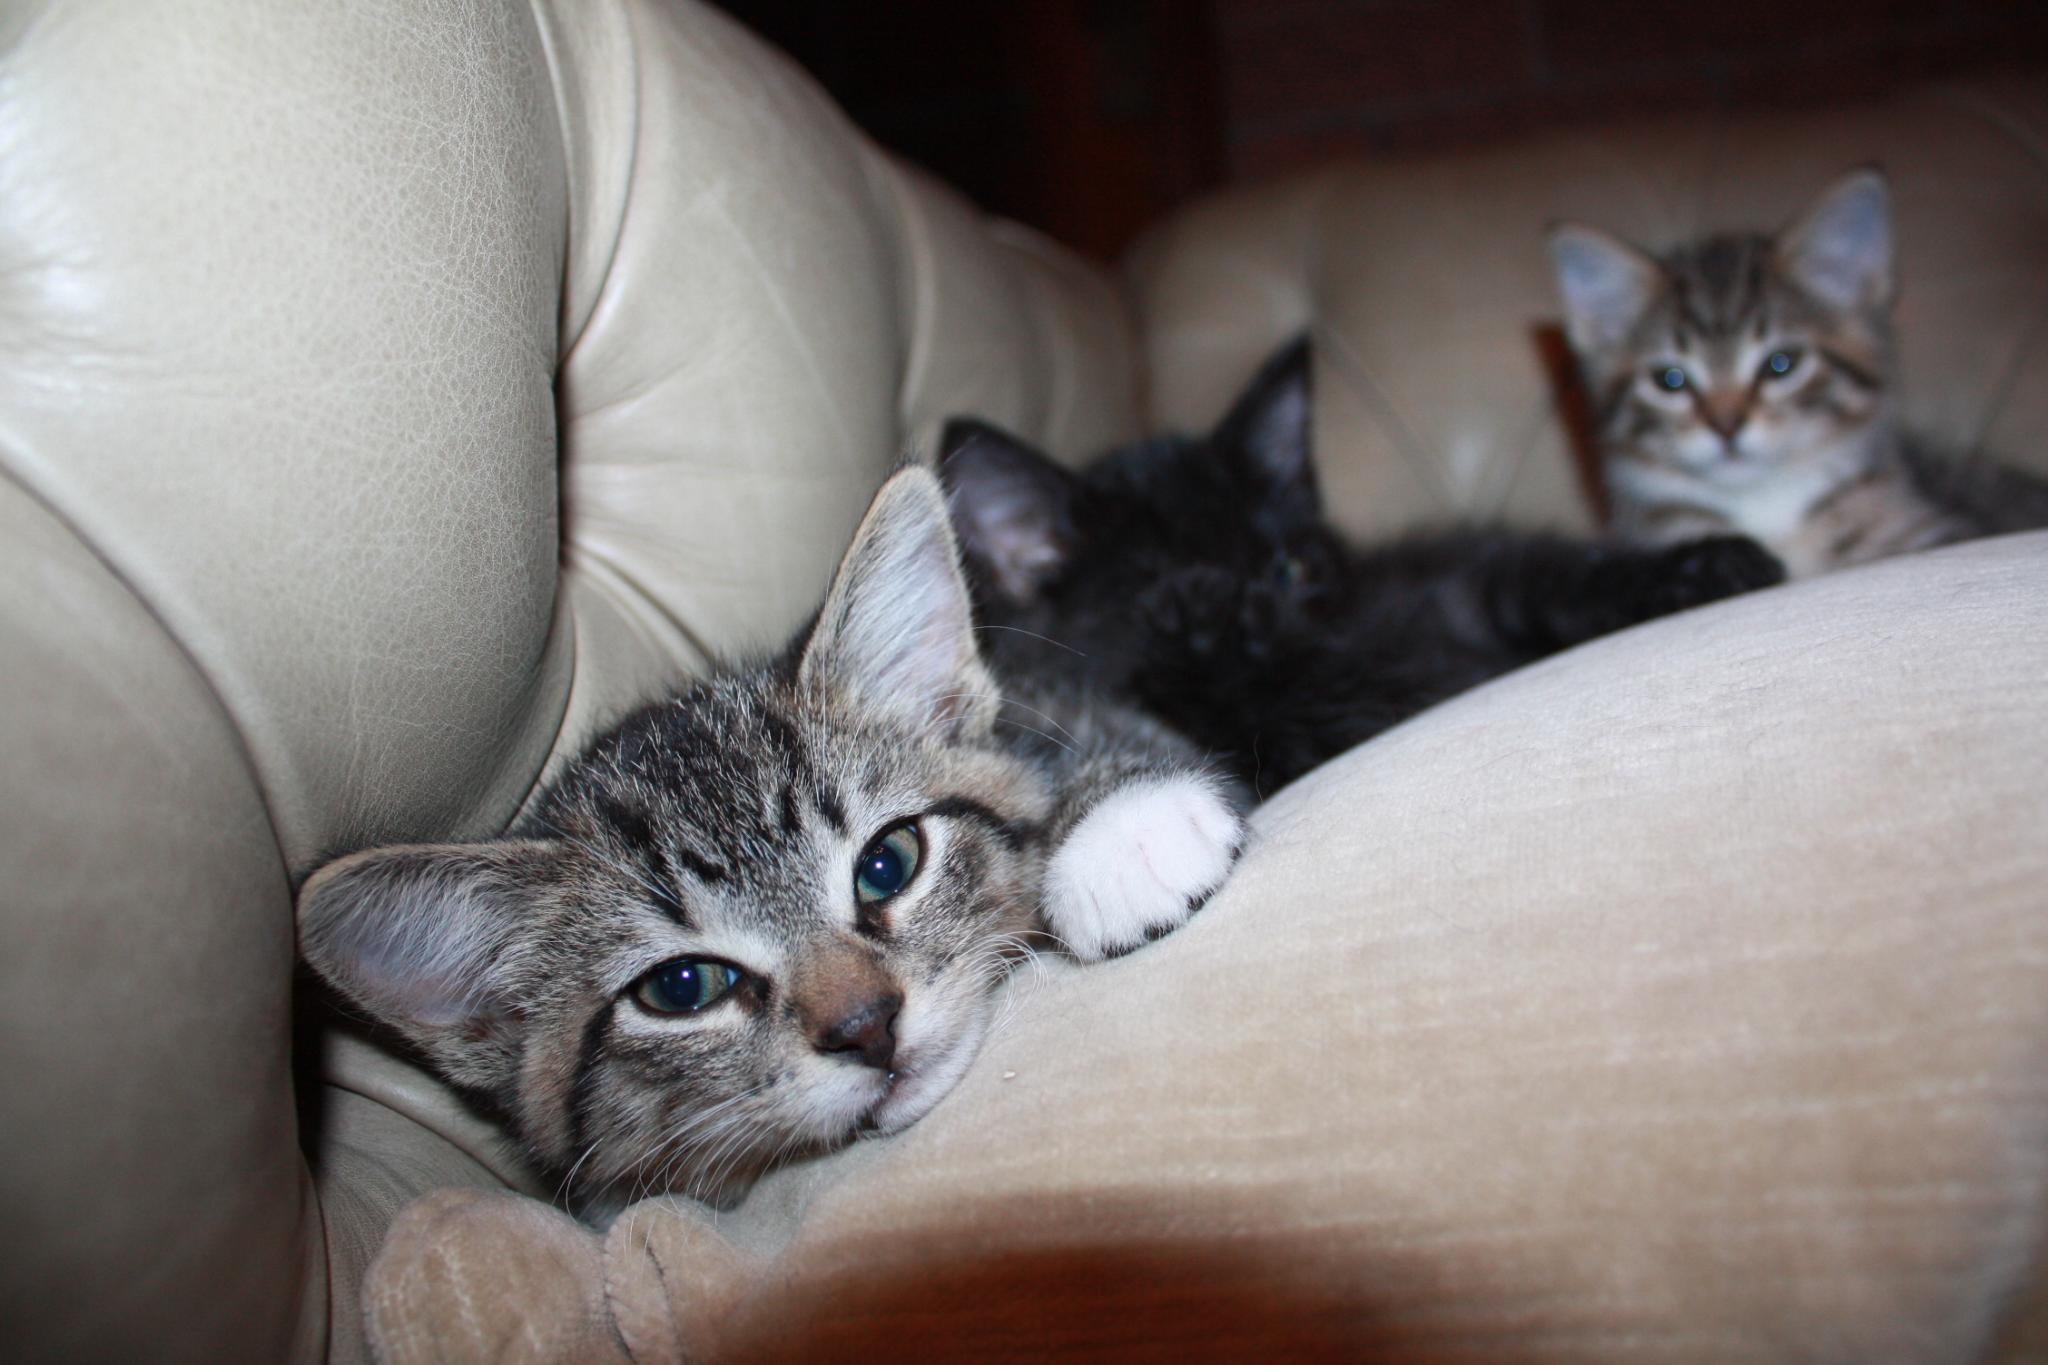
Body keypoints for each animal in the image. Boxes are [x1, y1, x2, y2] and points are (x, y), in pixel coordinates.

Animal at [937, 335, 1777, 794]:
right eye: (1164, 603)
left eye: (1289, 569)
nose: (1257, 610)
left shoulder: (1451, 576)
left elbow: (1544, 575)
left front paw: (1713, 564)